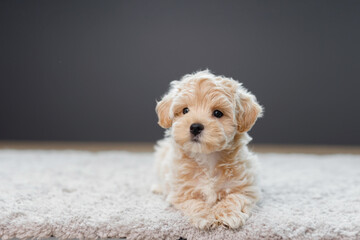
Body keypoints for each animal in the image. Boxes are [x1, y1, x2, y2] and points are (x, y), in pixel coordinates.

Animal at [150, 70, 262, 230]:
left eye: (218, 113)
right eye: (185, 110)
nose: (195, 127)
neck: (207, 158)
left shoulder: (247, 188)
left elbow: (234, 197)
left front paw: (229, 214)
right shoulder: (181, 193)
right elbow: (194, 203)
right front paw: (204, 217)